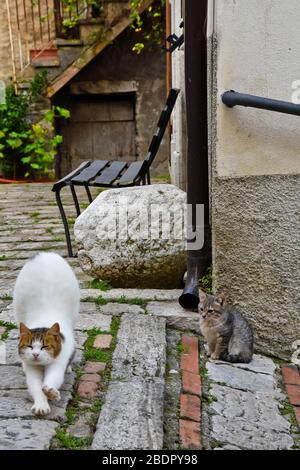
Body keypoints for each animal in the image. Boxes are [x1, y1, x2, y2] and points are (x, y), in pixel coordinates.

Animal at [13, 253, 79, 414]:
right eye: (30, 347)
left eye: (45, 347)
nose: (36, 354)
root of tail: (45, 253)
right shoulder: (31, 367)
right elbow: (36, 386)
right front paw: (41, 404)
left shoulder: (58, 362)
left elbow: (53, 378)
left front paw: (51, 392)